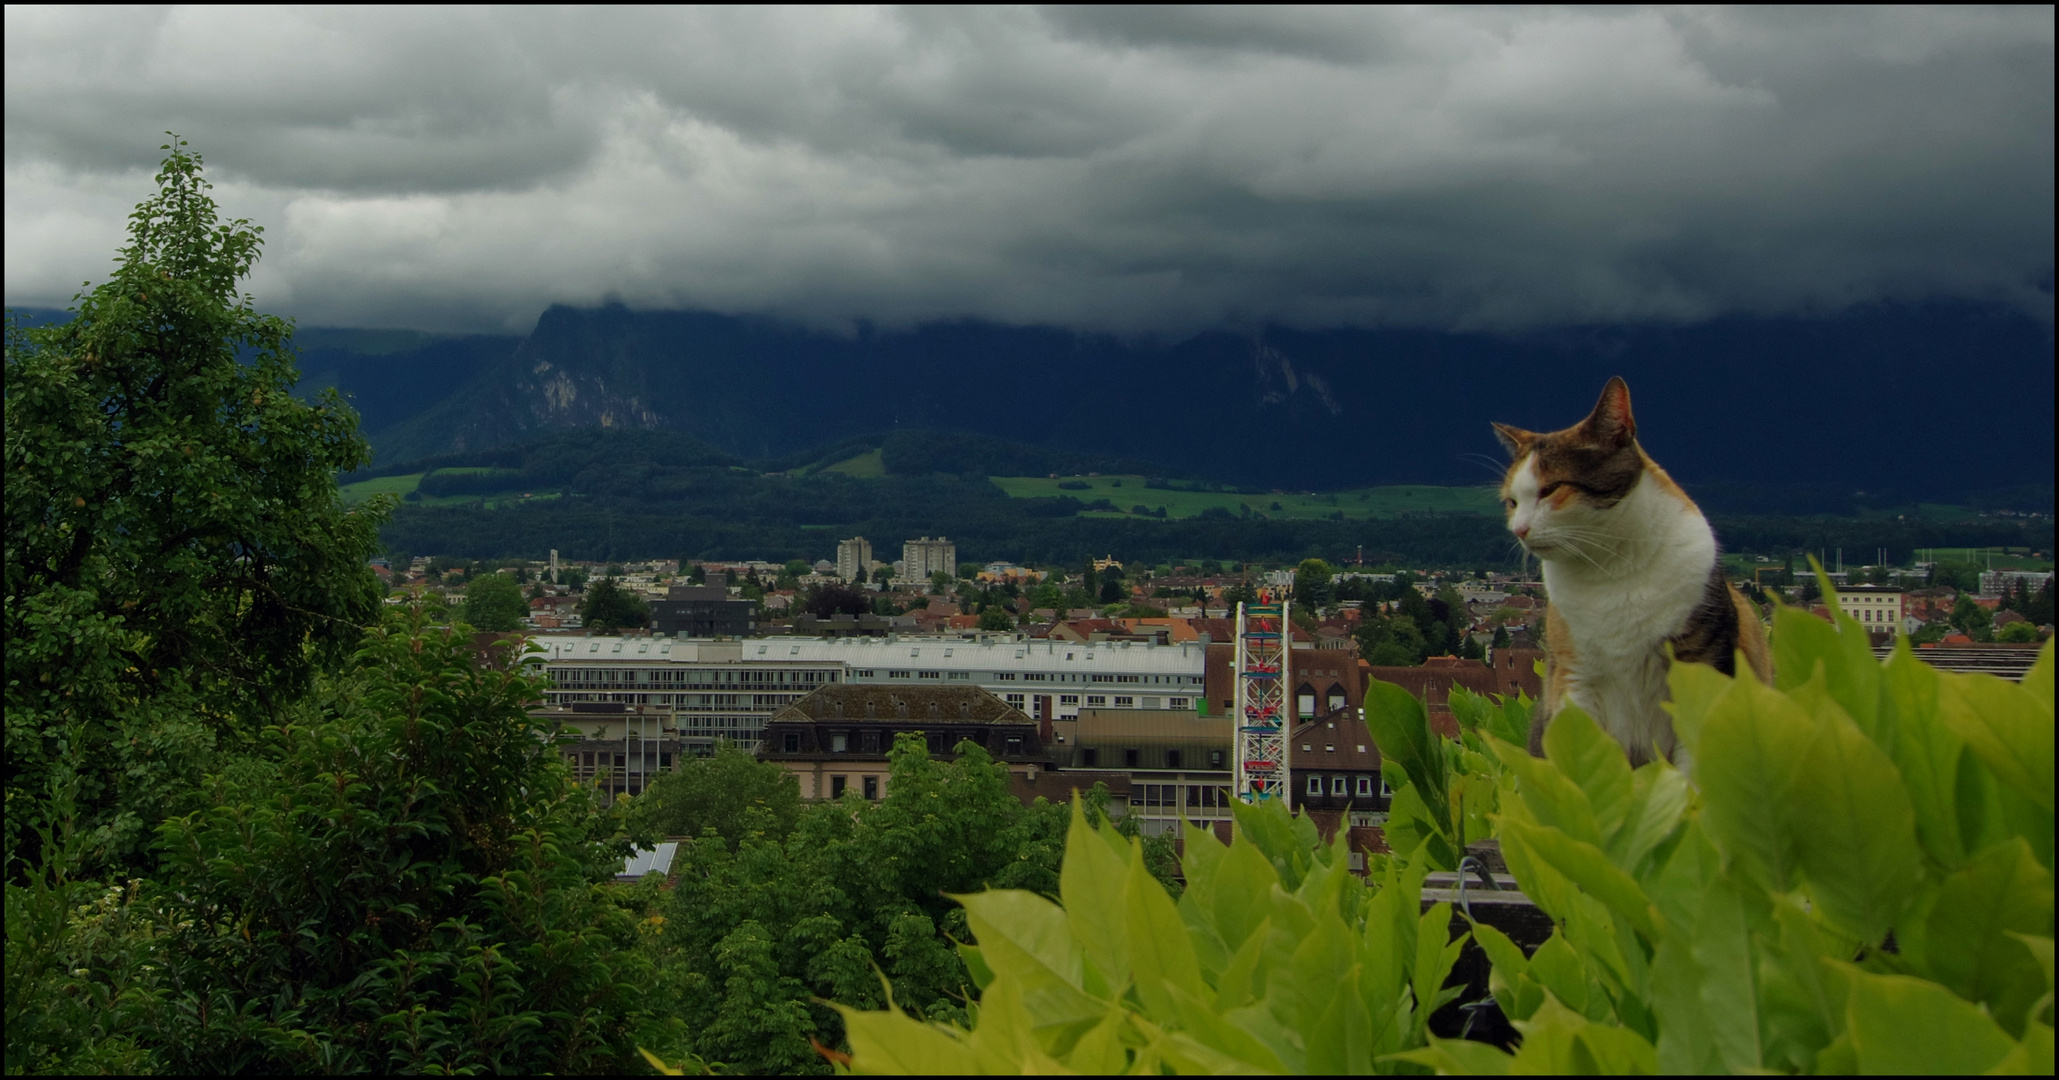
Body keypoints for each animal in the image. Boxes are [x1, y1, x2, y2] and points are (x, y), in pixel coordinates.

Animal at [1490, 378, 1778, 765]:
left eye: (1551, 489)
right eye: (1512, 502)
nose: (1518, 530)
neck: (1610, 570)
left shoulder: (1705, 665)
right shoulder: (1574, 680)